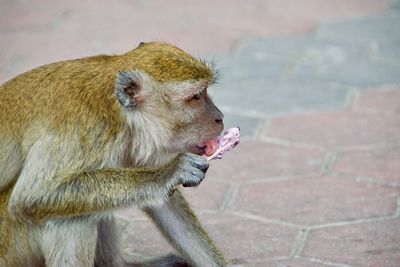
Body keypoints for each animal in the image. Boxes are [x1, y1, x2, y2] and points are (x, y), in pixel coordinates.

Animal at [0, 42, 228, 267]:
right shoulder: (79, 130)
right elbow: (31, 196)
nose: (219, 116)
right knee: (70, 217)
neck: (119, 114)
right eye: (196, 97)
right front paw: (171, 172)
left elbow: (166, 205)